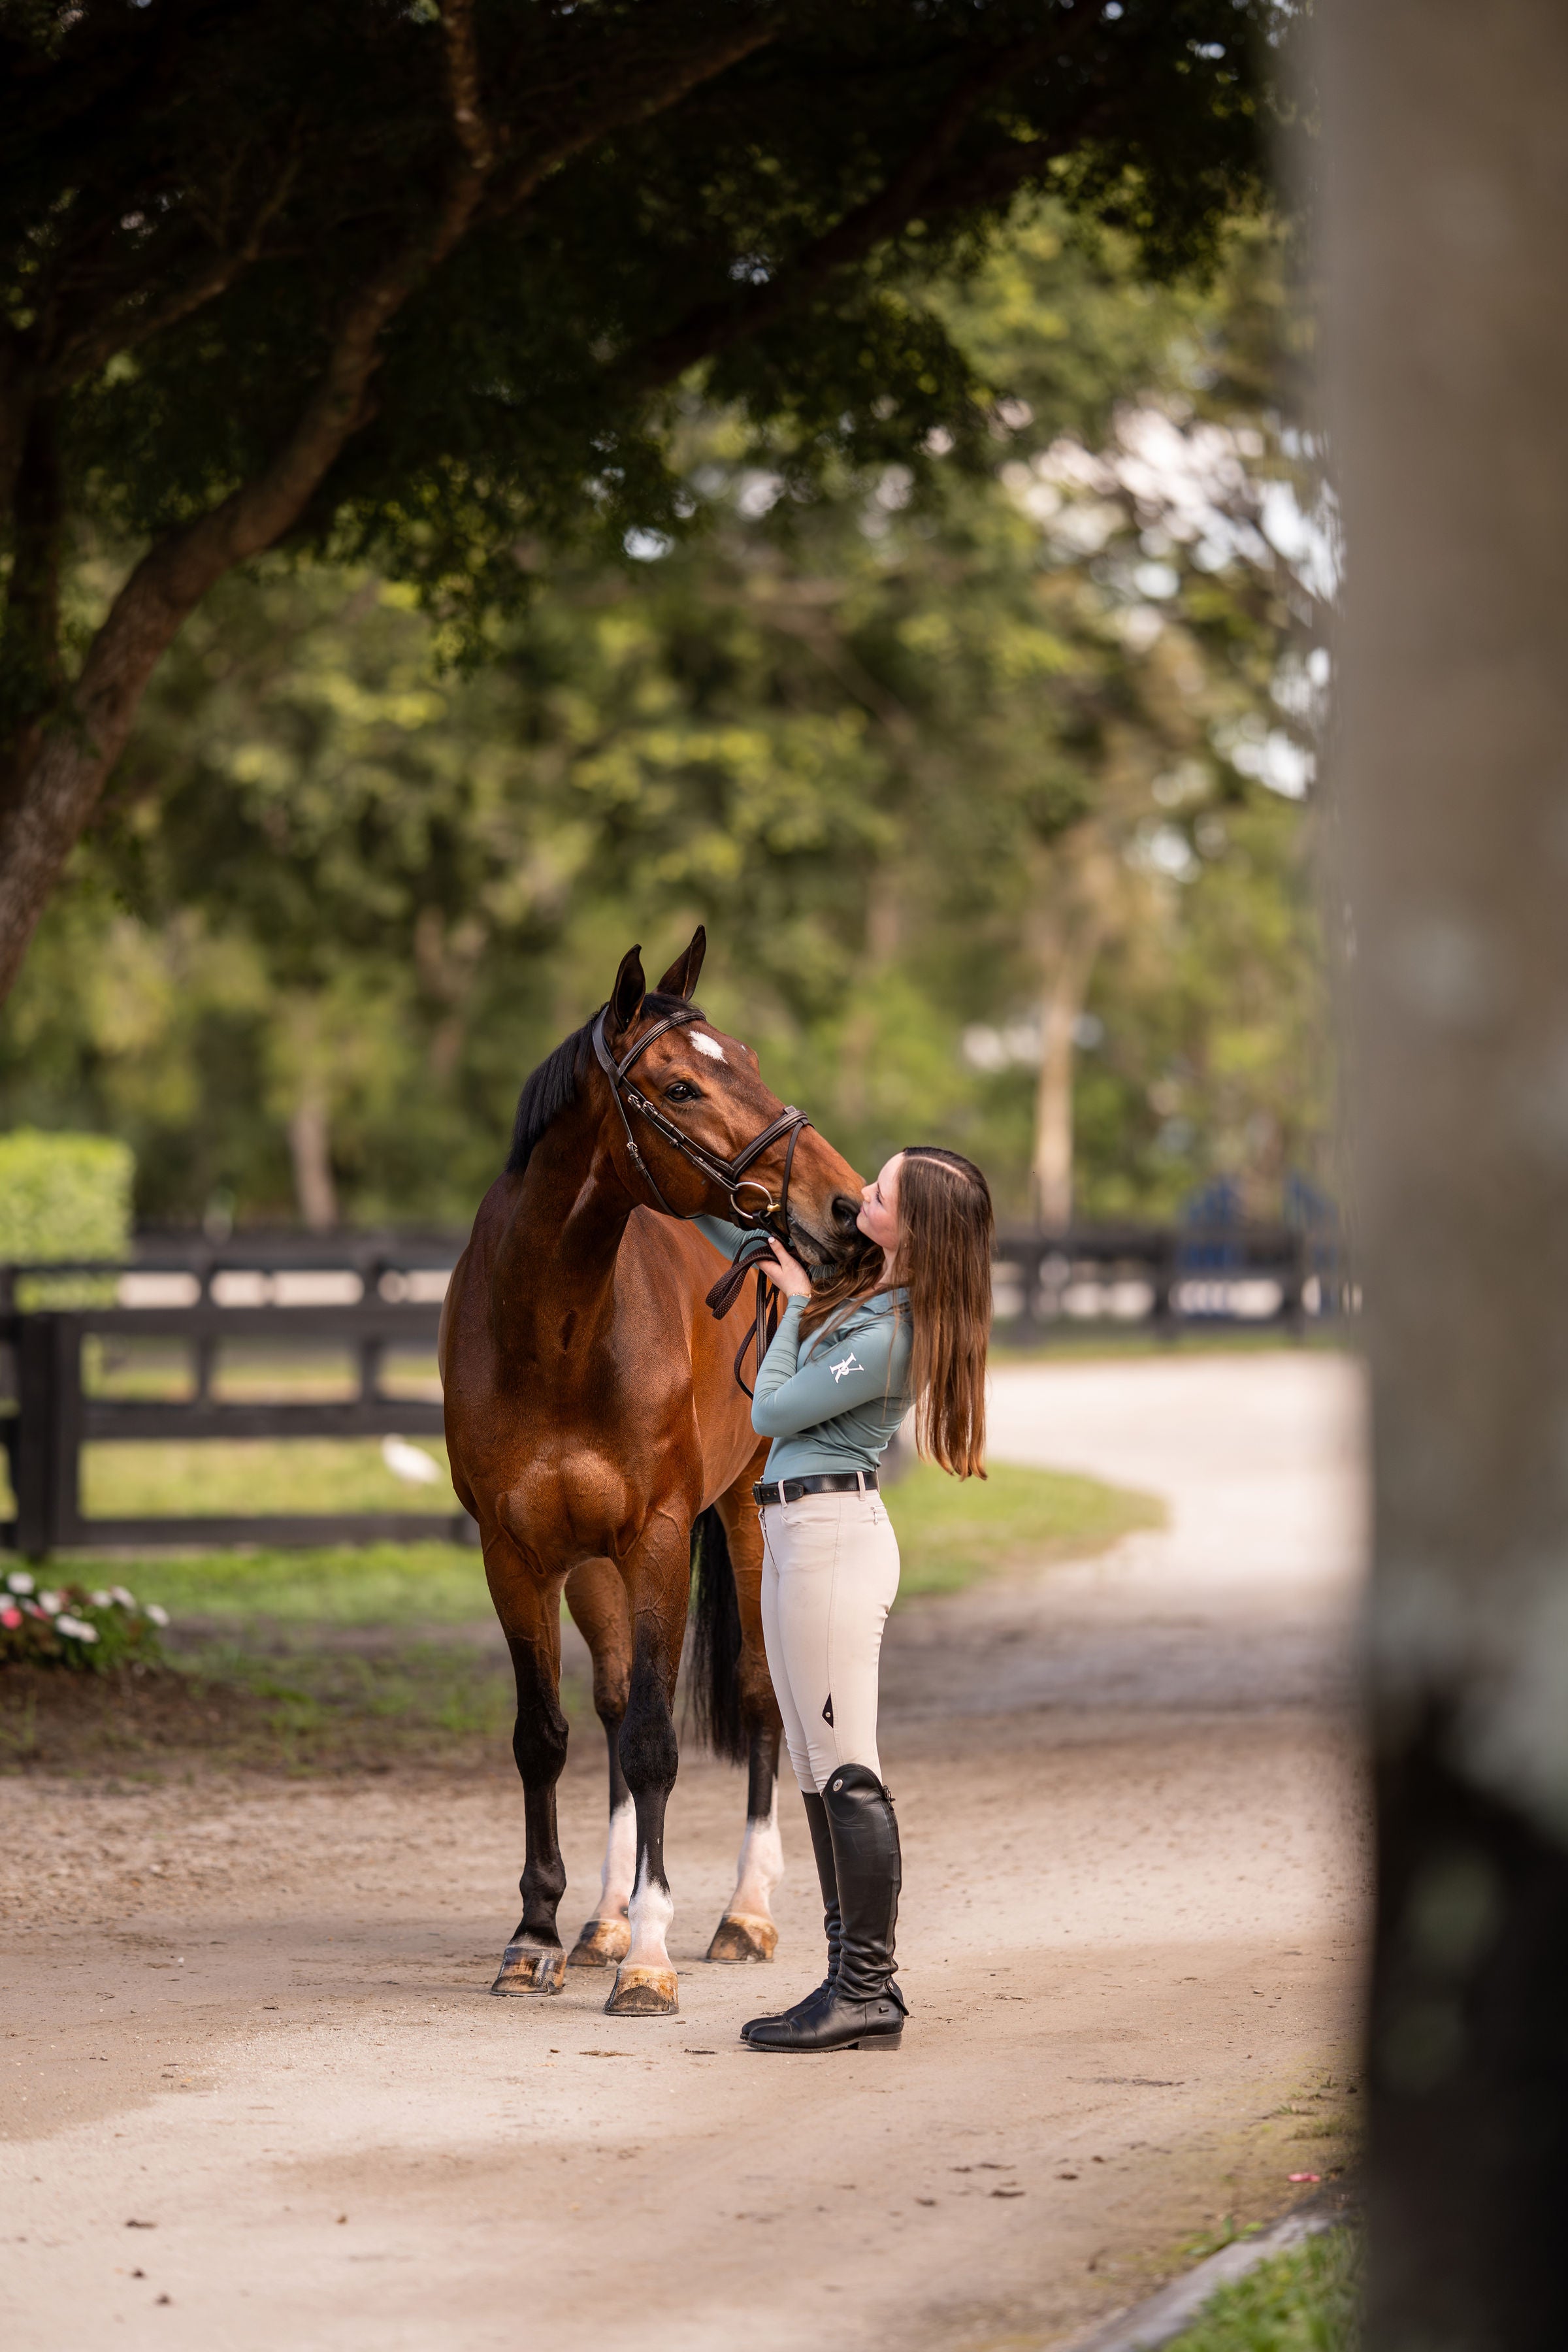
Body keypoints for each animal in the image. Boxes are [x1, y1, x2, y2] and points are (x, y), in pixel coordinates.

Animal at [442, 926, 870, 2013]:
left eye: (749, 1060)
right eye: (680, 1087)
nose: (846, 1203)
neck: (554, 1332)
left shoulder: (662, 1541)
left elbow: (654, 1742)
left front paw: (650, 1955)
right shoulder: (515, 1554)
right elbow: (549, 1735)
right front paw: (538, 1936)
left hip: (747, 1518)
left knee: (758, 1697)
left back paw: (742, 1915)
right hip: (592, 1564)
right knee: (608, 1702)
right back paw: (601, 1919)